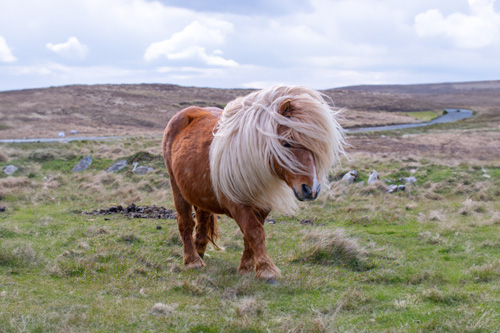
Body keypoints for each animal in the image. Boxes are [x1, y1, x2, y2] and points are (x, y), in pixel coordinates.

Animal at [162, 85, 346, 280]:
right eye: (286, 143)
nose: (311, 190)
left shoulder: (263, 203)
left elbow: (249, 234)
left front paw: (246, 267)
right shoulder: (236, 202)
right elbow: (254, 231)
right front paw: (266, 270)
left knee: (203, 219)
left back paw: (200, 252)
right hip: (177, 187)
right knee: (185, 222)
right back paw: (192, 261)